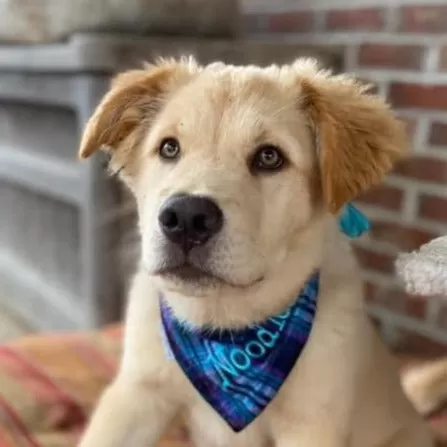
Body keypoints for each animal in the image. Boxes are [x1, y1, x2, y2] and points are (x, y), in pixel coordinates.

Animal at [77, 57, 434, 446]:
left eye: (269, 157)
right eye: (169, 148)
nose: (186, 218)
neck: (224, 330)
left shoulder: (311, 424)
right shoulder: (137, 392)